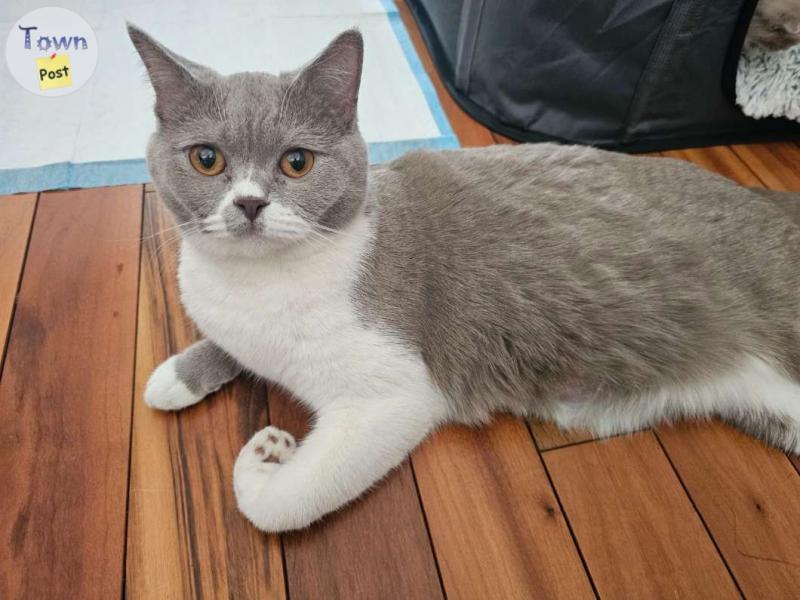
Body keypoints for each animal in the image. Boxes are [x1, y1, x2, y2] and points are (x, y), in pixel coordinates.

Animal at [128, 25, 800, 532]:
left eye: (296, 163)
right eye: (206, 159)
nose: (248, 204)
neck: (256, 285)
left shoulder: (395, 394)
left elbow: (279, 506)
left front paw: (265, 456)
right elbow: (228, 344)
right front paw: (176, 376)